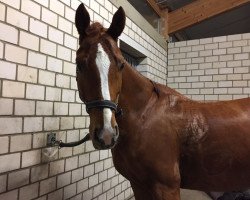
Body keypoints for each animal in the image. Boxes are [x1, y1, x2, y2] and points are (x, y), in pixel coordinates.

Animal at [75, 3, 250, 200]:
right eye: (79, 64)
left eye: (120, 64)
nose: (106, 135)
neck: (144, 117)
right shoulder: (138, 184)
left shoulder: (167, 187)